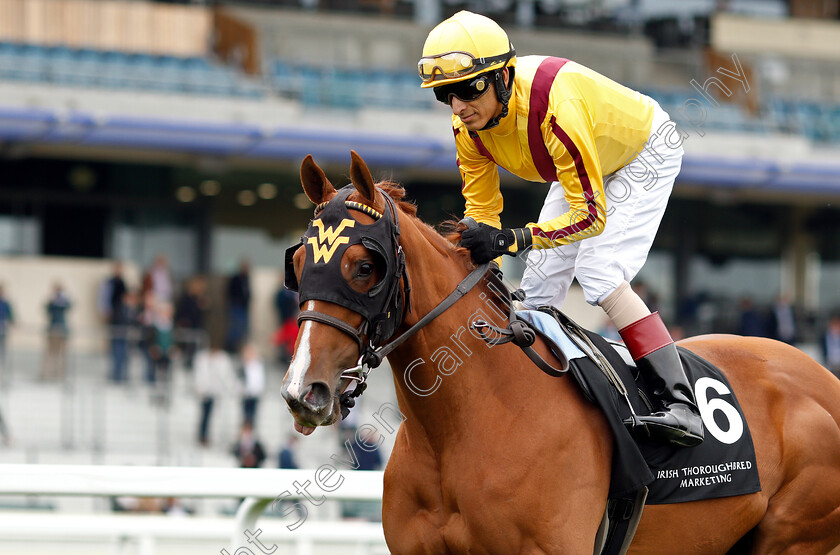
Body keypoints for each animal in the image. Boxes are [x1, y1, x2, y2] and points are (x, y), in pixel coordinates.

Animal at [280, 150, 840, 552]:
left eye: (364, 266)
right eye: (300, 262)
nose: (303, 390)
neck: (465, 423)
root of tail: (824, 378)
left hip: (795, 536)